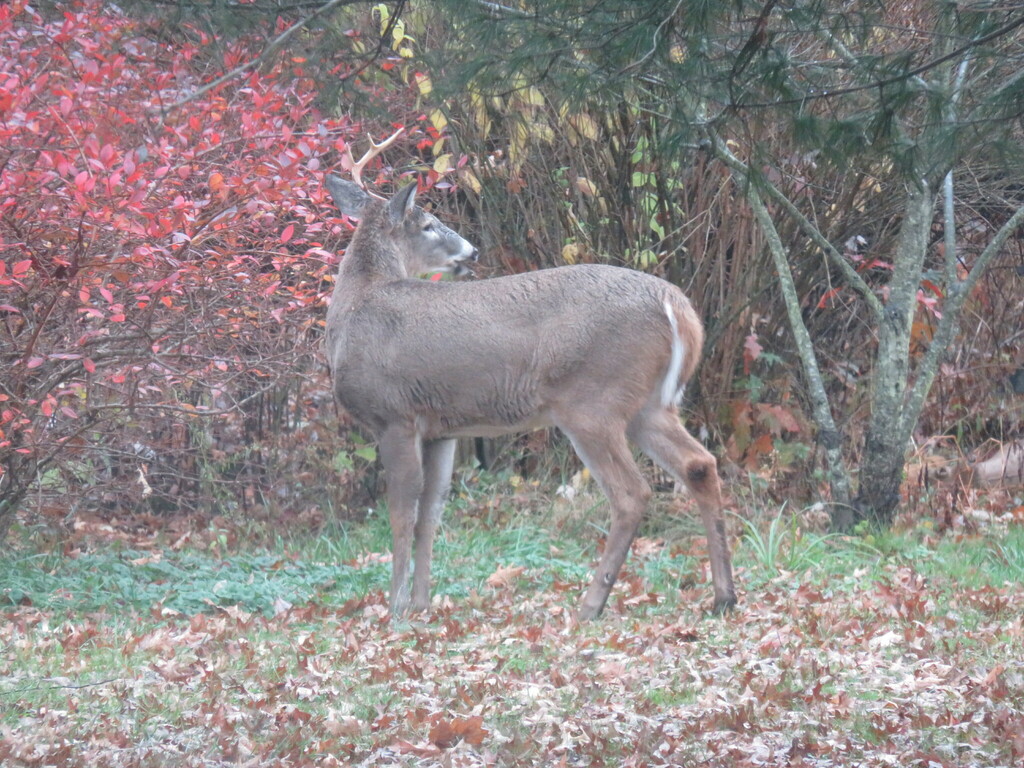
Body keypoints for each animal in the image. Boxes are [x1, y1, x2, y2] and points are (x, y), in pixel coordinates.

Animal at [323, 132, 736, 621]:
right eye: (427, 225)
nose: (472, 250)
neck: (358, 307)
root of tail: (678, 306)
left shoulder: (395, 416)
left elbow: (402, 515)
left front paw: (396, 610)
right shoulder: (441, 429)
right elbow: (430, 515)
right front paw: (423, 605)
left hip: (592, 401)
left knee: (631, 493)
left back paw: (590, 605)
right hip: (648, 404)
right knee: (699, 464)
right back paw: (723, 596)